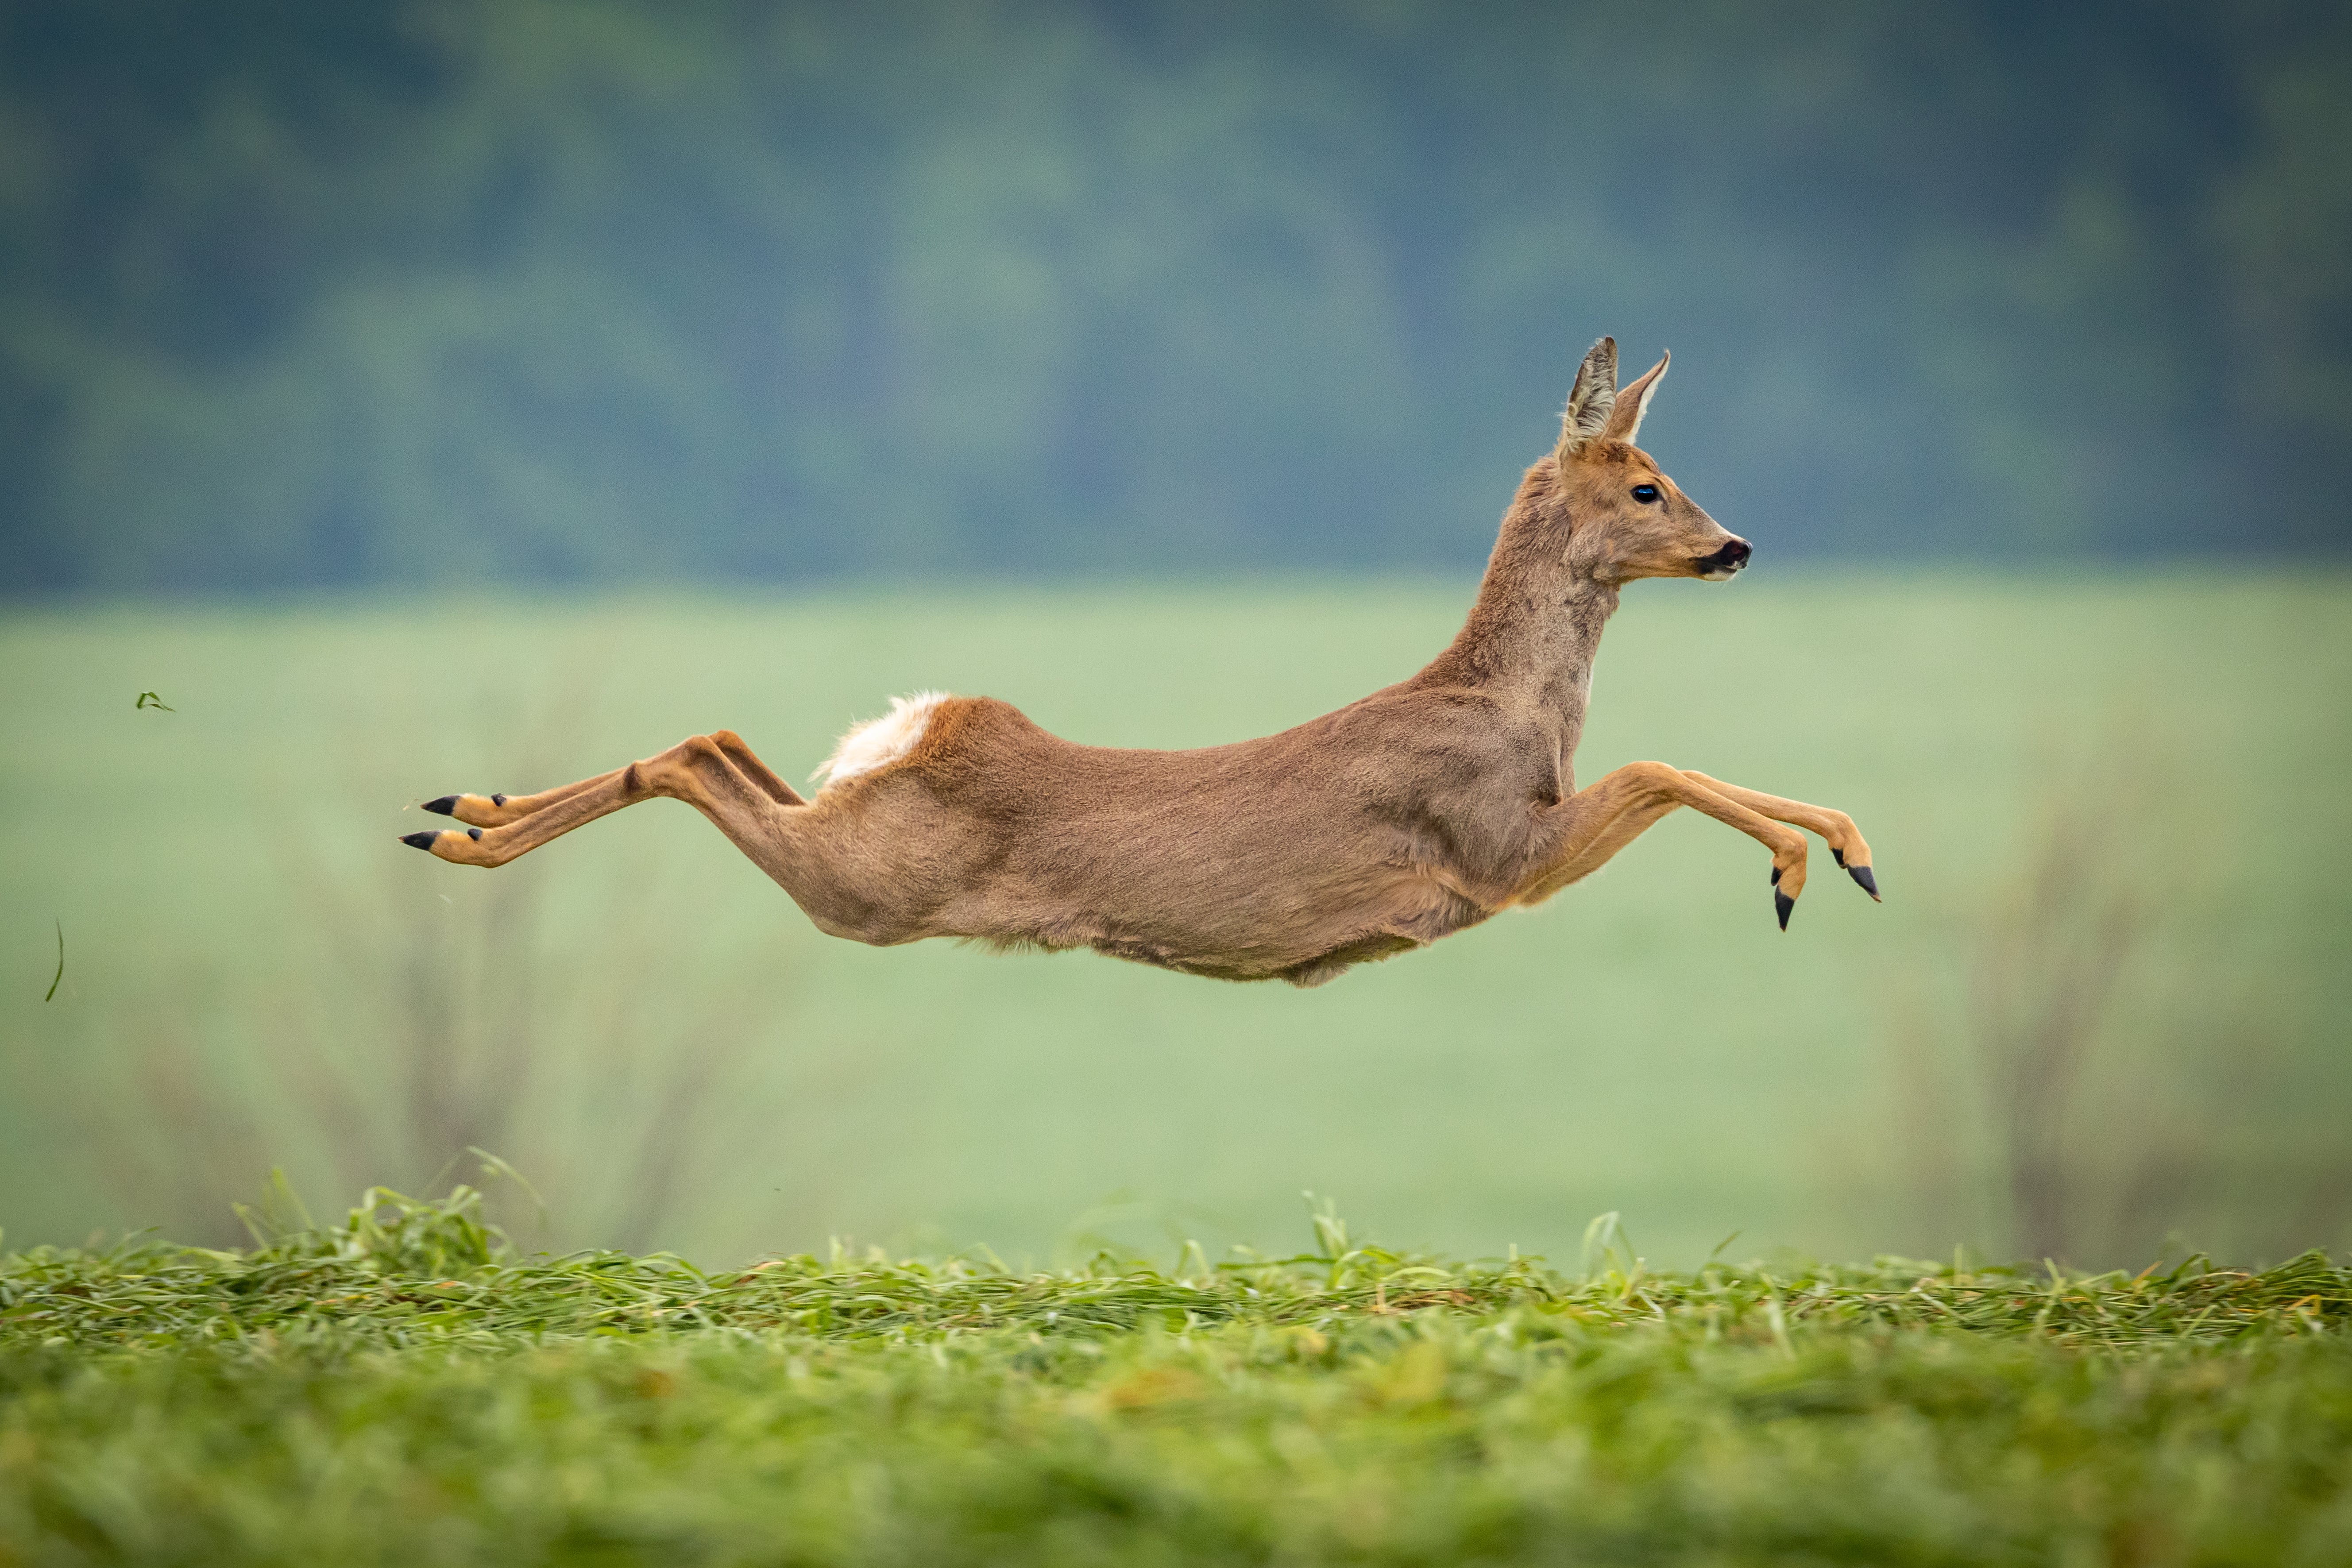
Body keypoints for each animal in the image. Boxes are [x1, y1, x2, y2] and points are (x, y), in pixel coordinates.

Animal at [400, 338, 1872, 987]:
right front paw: (1810, 864)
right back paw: (457, 828)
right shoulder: (1492, 850)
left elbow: (1664, 763)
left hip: (862, 835)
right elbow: (1659, 763)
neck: (1508, 707)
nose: (1736, 544)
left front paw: (1846, 849)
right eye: (1646, 483)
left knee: (729, 745)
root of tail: (928, 727)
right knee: (696, 763)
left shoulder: (1508, 852)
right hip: (870, 889)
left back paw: (462, 808)